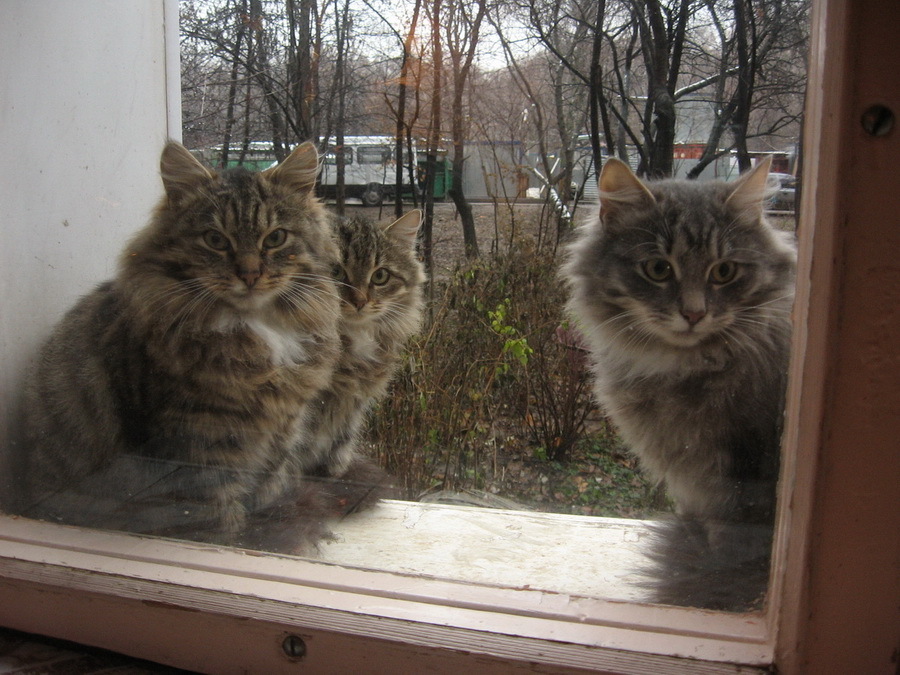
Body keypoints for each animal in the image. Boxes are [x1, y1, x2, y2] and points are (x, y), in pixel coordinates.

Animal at [9, 140, 390, 552]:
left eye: (275, 238)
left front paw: (263, 534)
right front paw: (234, 541)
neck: (259, 328)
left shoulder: (280, 434)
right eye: (215, 240)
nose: (250, 274)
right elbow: (218, 513)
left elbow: (265, 494)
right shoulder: (200, 440)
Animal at [568, 158, 800, 612]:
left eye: (724, 271)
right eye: (659, 269)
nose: (694, 314)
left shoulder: (740, 473)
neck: (683, 365)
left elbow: (729, 547)